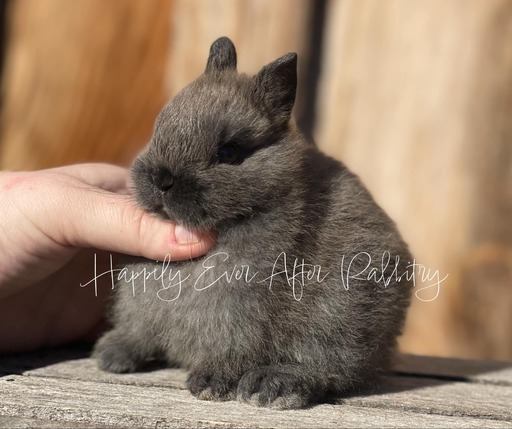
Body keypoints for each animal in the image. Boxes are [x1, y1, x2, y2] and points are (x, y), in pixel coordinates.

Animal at [91, 36, 412, 408]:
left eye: (229, 153)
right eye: (160, 126)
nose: (162, 179)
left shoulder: (240, 303)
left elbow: (234, 341)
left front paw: (212, 382)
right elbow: (139, 328)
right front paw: (114, 352)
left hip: (342, 314)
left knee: (330, 370)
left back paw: (273, 385)